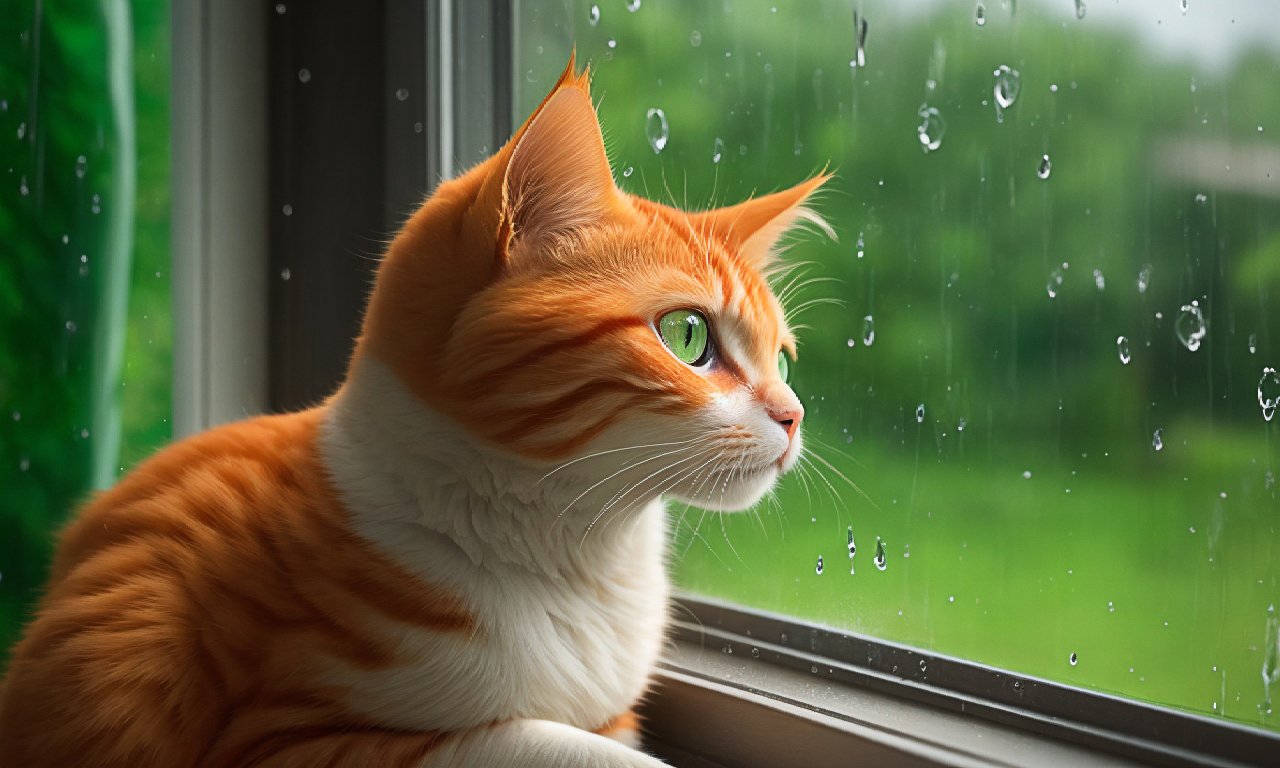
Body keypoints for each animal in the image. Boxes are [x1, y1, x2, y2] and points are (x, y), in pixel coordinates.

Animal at [0, 56, 829, 762]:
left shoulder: (614, 711)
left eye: (783, 360)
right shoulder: (290, 736)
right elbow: (542, 739)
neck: (578, 559)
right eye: (689, 336)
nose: (794, 416)